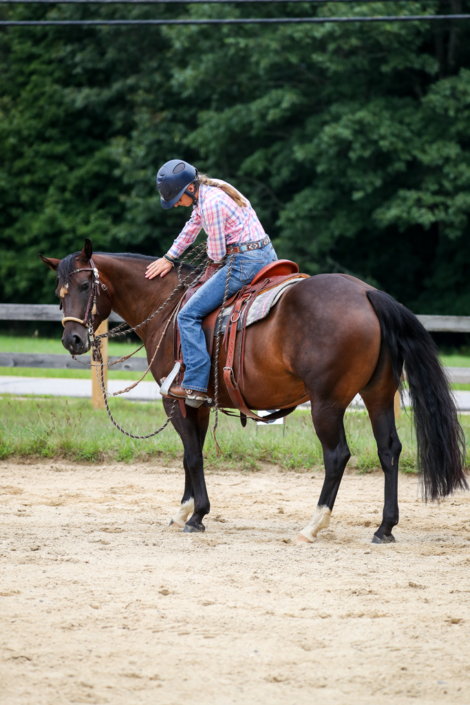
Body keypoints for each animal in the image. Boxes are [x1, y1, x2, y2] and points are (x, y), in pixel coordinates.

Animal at [40, 239, 468, 544]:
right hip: (378, 394)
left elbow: (192, 456)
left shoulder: (174, 400)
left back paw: (313, 525)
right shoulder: (194, 403)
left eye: (85, 285)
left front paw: (197, 516)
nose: (72, 339)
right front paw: (185, 510)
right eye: (59, 293)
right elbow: (190, 455)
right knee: (389, 450)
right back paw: (384, 527)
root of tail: (366, 293)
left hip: (327, 404)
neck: (168, 309)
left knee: (337, 456)